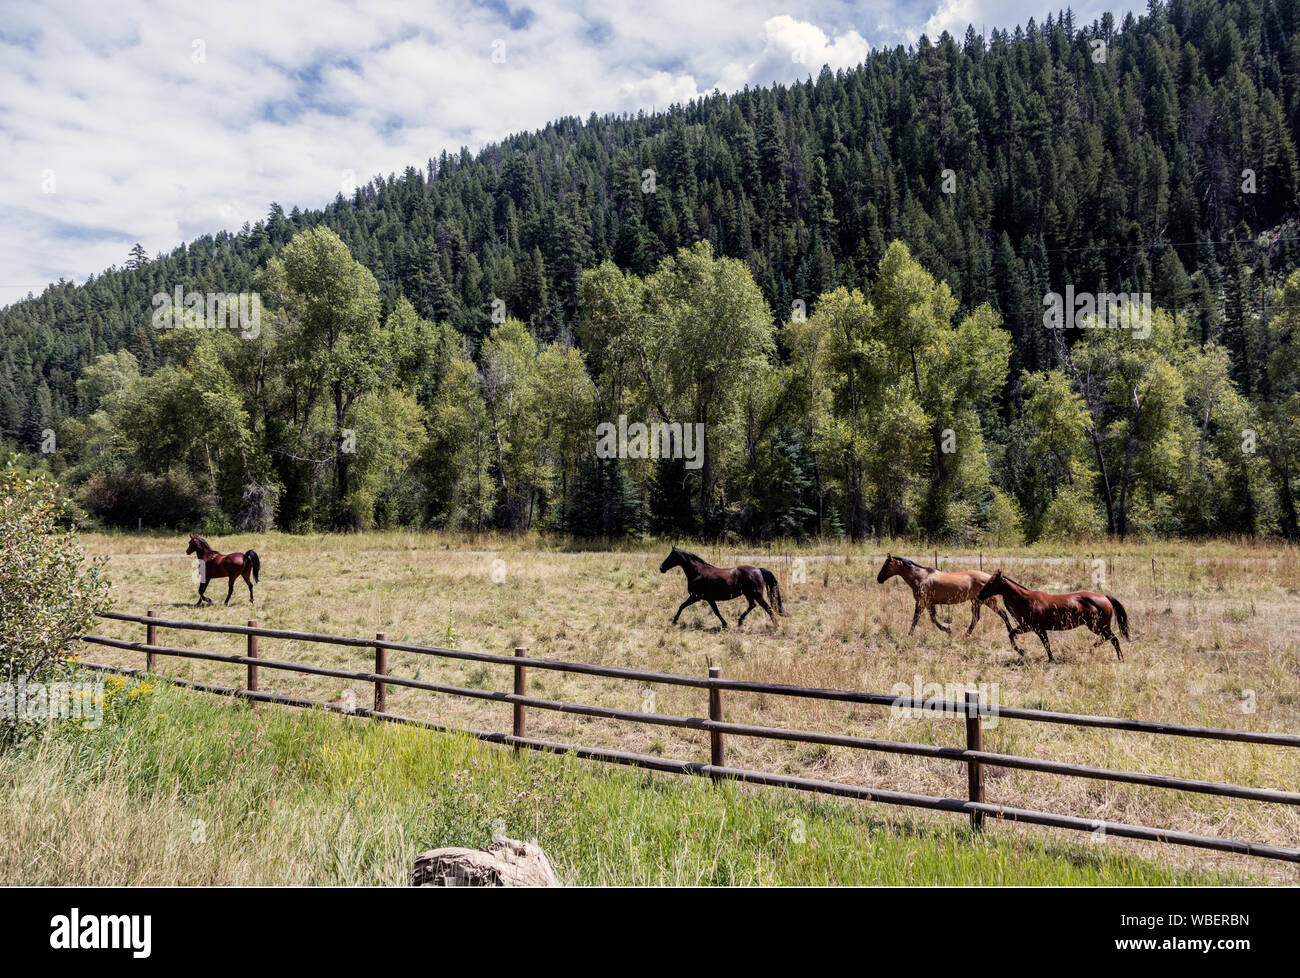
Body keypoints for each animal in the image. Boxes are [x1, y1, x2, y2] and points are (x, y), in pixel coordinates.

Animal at [876, 554, 1014, 637]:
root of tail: (990, 577)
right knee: (976, 618)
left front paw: (910, 634)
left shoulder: (921, 602)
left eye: (886, 565)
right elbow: (933, 618)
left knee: (1003, 614)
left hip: (989, 602)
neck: (921, 577)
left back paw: (1011, 632)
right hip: (976, 602)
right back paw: (966, 634)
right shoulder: (929, 603)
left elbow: (916, 618)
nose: (878, 579)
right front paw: (947, 630)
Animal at [976, 569, 1129, 662]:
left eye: (991, 582)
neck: (1026, 600)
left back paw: (1119, 658)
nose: (978, 595)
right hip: (1098, 627)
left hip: (1098, 626)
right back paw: (1091, 650)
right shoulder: (1029, 628)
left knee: (1113, 639)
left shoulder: (1034, 628)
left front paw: (1024, 652)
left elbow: (1044, 643)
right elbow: (1015, 635)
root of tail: (1104, 596)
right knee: (1107, 639)